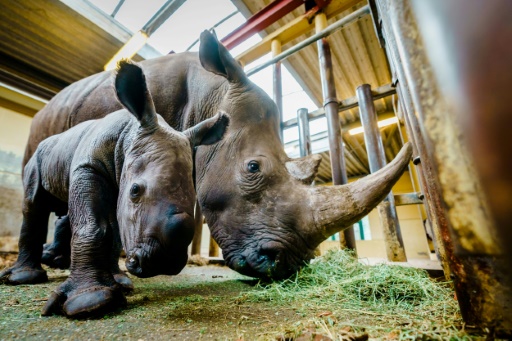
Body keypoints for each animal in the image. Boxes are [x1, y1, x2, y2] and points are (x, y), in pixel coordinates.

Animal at [0, 60, 228, 316]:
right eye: (135, 190)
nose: (163, 263)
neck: (128, 135)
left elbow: (116, 230)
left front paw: (121, 283)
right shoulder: (89, 167)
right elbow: (92, 226)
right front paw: (91, 302)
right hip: (37, 158)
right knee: (33, 205)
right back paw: (24, 278)